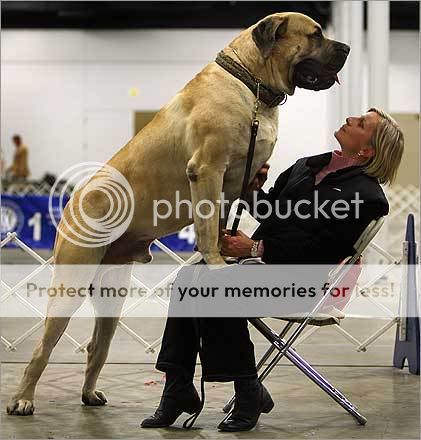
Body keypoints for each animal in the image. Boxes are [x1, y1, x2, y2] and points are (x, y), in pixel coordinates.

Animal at [6, 11, 350, 416]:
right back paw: (23, 399)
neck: (251, 85)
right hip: (71, 282)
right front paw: (216, 263)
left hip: (111, 292)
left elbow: (220, 223)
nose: (346, 48)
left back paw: (89, 394)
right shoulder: (207, 169)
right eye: (315, 35)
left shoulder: (236, 182)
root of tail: (72, 202)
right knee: (42, 348)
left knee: (97, 345)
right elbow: (208, 226)